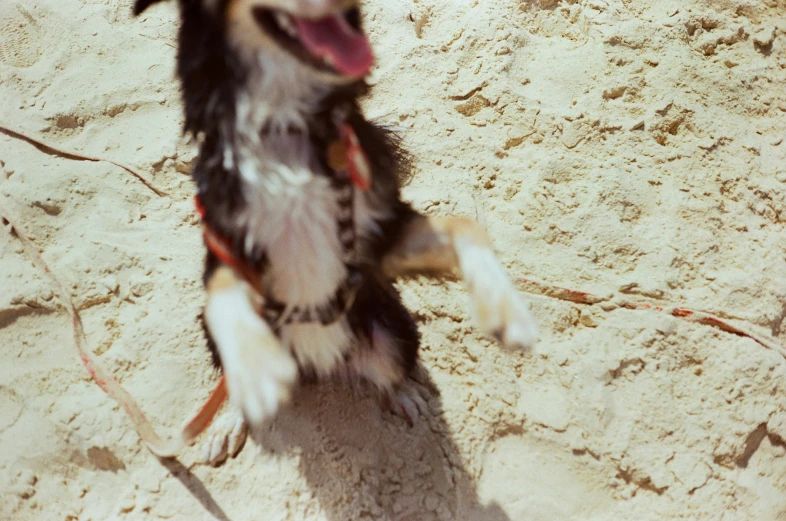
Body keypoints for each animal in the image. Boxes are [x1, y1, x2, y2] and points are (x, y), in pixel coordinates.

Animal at [135, 0, 540, 464]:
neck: (286, 125)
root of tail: (314, 362)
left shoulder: (380, 237)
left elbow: (465, 224)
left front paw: (507, 311)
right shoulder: (226, 244)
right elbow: (222, 296)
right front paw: (254, 365)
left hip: (391, 328)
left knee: (390, 370)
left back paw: (404, 396)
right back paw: (229, 420)